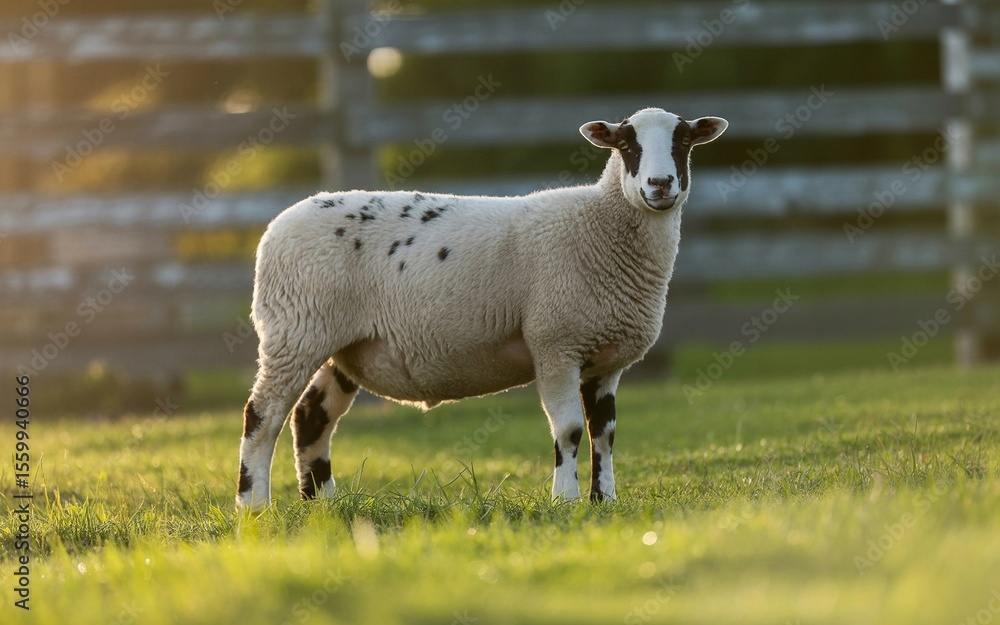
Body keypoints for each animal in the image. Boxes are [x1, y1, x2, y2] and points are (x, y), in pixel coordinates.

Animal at [236, 107, 728, 510]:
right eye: (627, 146)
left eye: (683, 142)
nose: (660, 185)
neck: (599, 223)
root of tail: (276, 226)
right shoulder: (555, 342)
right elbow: (569, 429)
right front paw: (565, 501)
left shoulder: (605, 357)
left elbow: (603, 433)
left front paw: (603, 500)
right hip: (295, 331)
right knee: (263, 415)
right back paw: (253, 506)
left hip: (342, 344)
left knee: (311, 417)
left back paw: (322, 504)